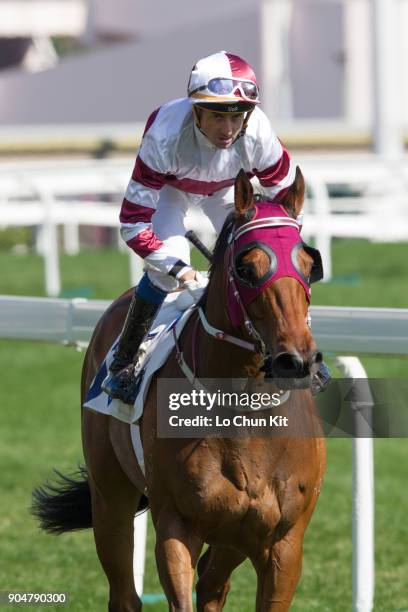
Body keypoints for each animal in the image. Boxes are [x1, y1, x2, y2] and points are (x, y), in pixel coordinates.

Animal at [31, 167, 326, 612]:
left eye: (309, 265)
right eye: (246, 267)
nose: (296, 360)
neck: (242, 406)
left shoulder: (283, 544)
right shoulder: (176, 527)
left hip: (232, 538)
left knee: (212, 586)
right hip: (110, 497)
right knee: (125, 593)